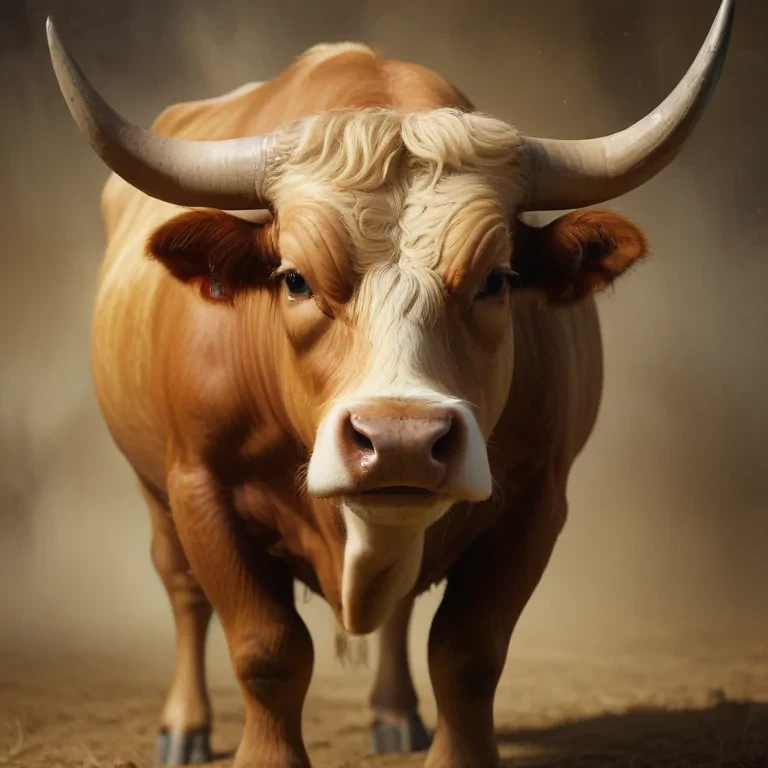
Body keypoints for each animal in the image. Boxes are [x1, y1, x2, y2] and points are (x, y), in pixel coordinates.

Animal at [46, 2, 733, 766]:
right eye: (294, 279)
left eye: (497, 279)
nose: (401, 440)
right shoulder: (203, 486)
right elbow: (266, 649)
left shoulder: (538, 496)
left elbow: (468, 653)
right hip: (154, 488)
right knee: (182, 591)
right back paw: (185, 725)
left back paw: (395, 712)